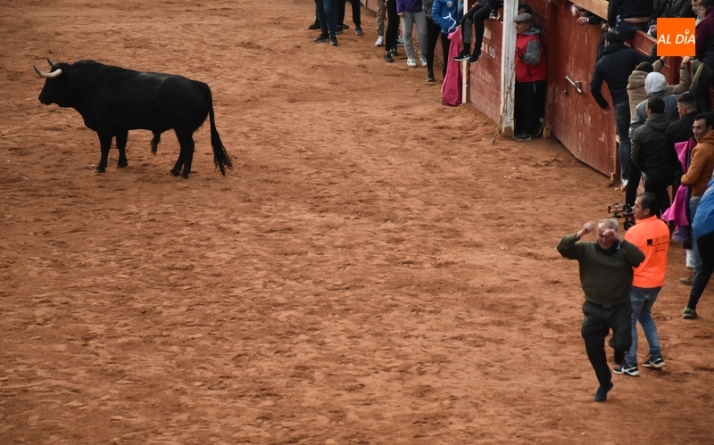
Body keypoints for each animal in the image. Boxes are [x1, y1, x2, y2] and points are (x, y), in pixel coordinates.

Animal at [34, 58, 234, 178]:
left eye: (51, 81)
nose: (41, 97)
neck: (90, 85)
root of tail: (197, 84)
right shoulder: (122, 127)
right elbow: (121, 144)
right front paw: (122, 163)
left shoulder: (104, 128)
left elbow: (105, 148)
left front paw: (100, 167)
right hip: (182, 129)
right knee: (185, 148)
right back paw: (175, 170)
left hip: (182, 129)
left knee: (188, 147)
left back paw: (182, 173)